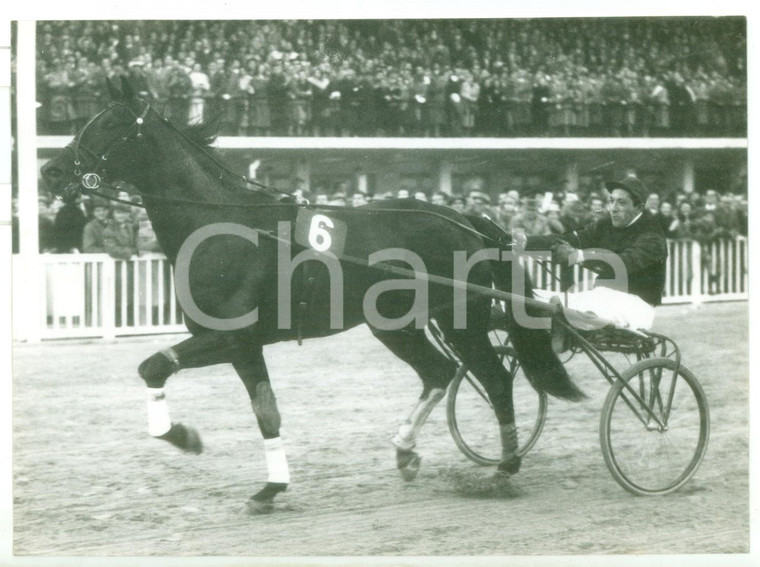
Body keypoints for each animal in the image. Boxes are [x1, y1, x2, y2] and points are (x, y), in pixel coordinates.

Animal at [41, 81, 580, 516]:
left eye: (109, 124)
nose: (50, 172)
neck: (223, 224)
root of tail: (468, 220)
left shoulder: (230, 337)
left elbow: (153, 366)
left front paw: (185, 438)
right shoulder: (242, 346)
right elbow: (264, 411)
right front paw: (269, 487)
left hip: (461, 317)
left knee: (494, 380)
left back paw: (504, 468)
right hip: (395, 324)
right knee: (438, 372)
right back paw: (406, 450)